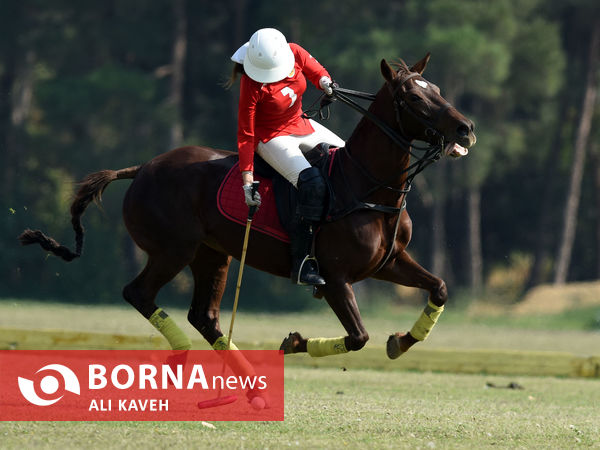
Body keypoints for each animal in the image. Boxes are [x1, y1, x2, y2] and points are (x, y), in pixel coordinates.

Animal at [18, 54, 476, 360]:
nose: (465, 128)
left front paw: (401, 341)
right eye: (413, 98)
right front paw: (294, 342)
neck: (367, 185)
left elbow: (439, 287)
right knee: (140, 293)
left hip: (212, 255)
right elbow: (358, 336)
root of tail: (142, 168)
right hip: (173, 250)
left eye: (437, 90)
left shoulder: (388, 262)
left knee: (205, 316)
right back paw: (188, 354)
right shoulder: (335, 276)